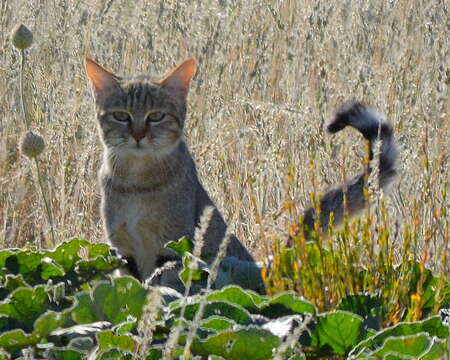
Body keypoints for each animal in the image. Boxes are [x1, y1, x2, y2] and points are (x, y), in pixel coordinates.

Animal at [84, 57, 398, 286]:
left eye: (156, 116)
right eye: (121, 116)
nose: (138, 135)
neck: (137, 183)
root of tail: (265, 269)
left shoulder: (172, 247)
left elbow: (158, 285)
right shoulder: (123, 250)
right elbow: (134, 287)